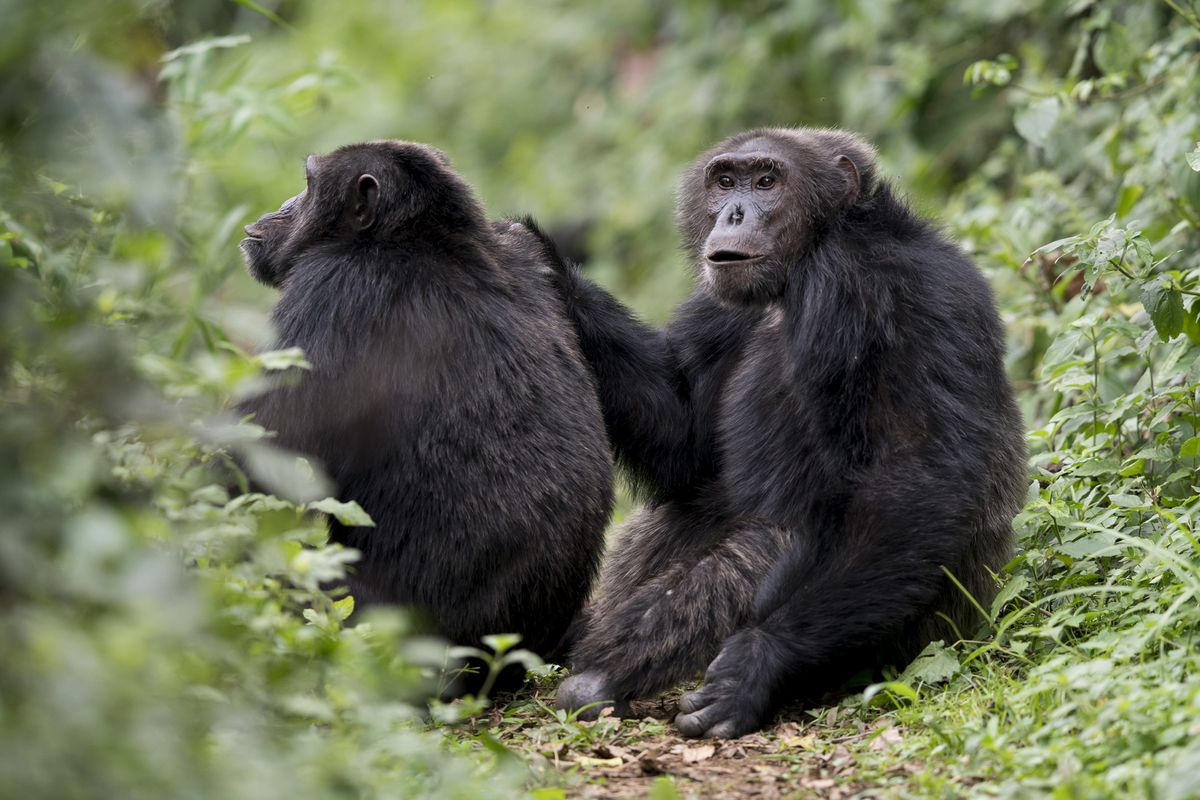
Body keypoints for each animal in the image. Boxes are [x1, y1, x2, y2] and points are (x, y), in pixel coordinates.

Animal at [237, 140, 614, 666]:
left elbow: (259, 452)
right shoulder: (528, 251)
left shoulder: (330, 290)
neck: (415, 238)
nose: (284, 205)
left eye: (308, 183)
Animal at [549, 126, 1027, 738]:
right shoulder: (718, 307)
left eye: (766, 181)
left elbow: (917, 477)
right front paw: (539, 258)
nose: (733, 212)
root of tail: (978, 627)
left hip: (919, 641)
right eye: (726, 180)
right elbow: (687, 446)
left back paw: (604, 678)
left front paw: (759, 661)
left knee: (777, 535)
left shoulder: (860, 287)